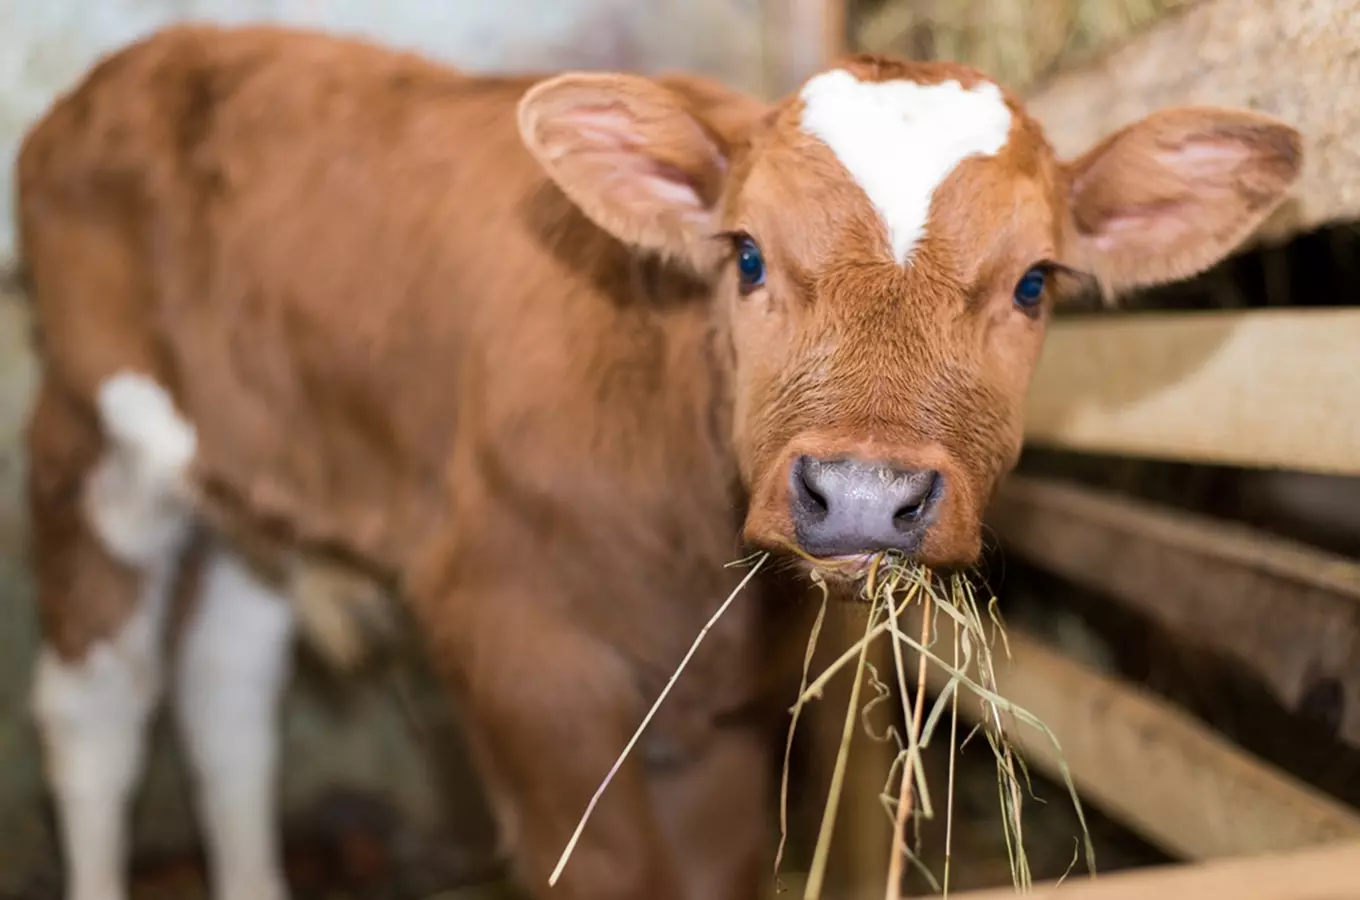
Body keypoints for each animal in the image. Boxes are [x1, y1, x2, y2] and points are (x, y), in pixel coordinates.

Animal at [15, 19, 1300, 900]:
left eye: (1035, 283)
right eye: (744, 255)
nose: (865, 493)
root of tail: (156, 51)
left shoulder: (729, 714)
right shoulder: (516, 645)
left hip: (252, 477)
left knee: (226, 693)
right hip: (90, 438)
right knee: (97, 711)